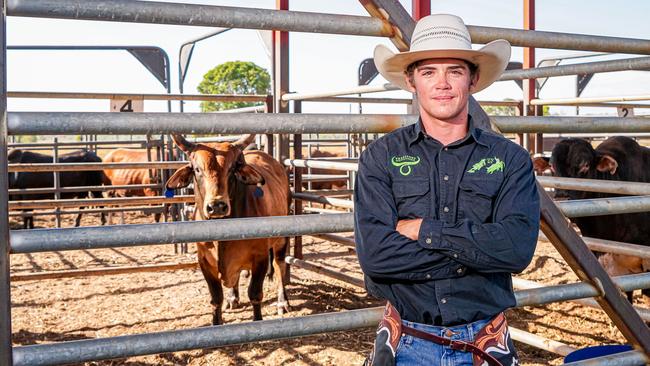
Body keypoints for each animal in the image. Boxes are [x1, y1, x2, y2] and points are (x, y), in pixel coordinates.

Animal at [165, 133, 288, 324]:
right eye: (197, 169)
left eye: (231, 169)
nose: (216, 206)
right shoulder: (204, 261)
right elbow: (216, 297)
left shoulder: (259, 258)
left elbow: (255, 294)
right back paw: (232, 298)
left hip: (281, 240)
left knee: (279, 264)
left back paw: (282, 302)